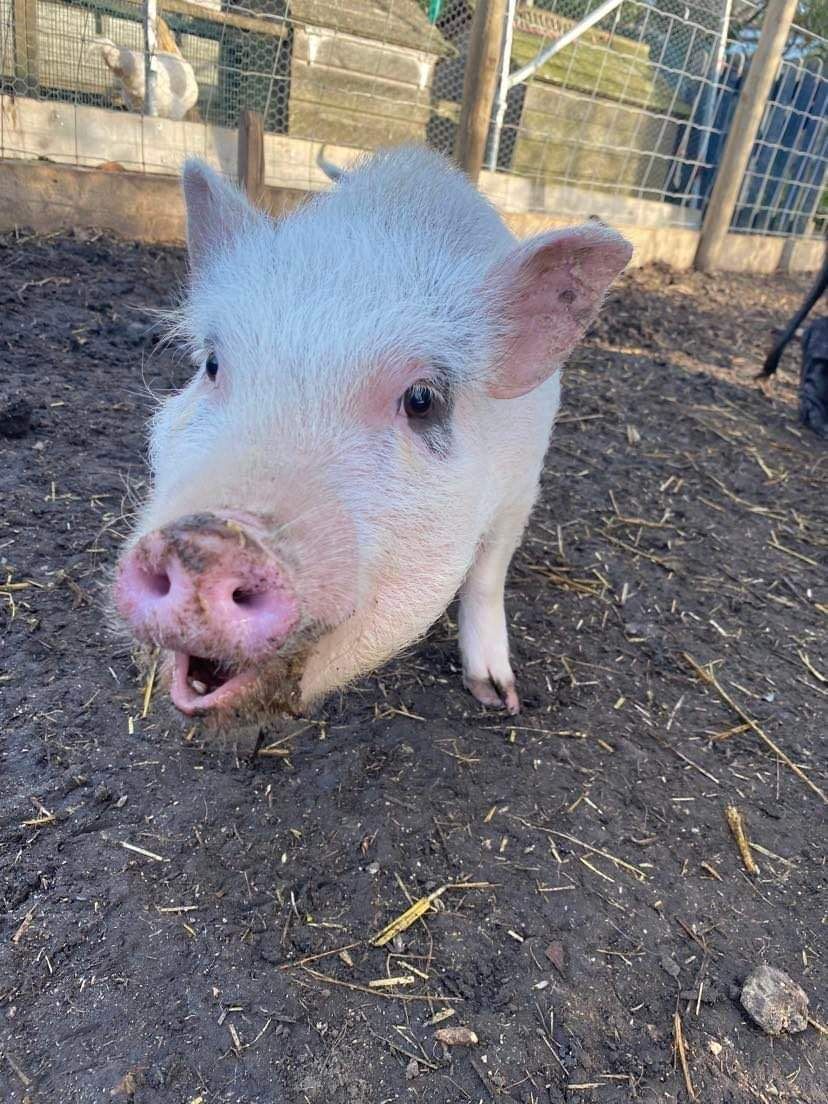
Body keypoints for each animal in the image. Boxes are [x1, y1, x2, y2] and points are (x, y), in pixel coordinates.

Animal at [114, 146, 631, 723]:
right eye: (211, 364)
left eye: (422, 399)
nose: (208, 537)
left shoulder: (522, 485)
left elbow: (487, 573)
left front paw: (498, 697)